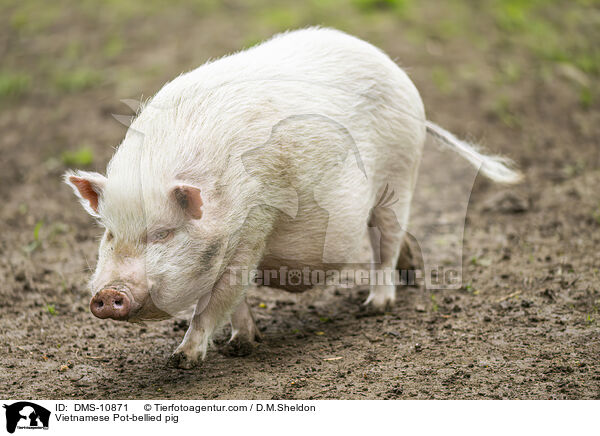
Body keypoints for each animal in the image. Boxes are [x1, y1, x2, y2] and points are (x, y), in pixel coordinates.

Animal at [63, 27, 516, 368]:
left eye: (162, 234)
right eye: (109, 234)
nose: (107, 295)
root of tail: (399, 74)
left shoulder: (255, 226)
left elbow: (219, 298)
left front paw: (182, 360)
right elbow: (236, 300)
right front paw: (243, 345)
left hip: (398, 179)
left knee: (384, 245)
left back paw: (376, 306)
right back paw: (409, 274)